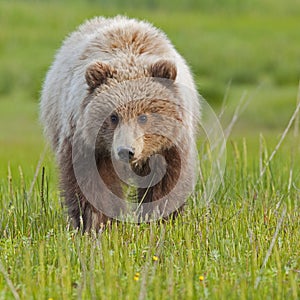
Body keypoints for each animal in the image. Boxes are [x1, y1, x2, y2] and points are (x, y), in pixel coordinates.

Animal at [39, 15, 199, 232]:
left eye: (143, 117)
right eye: (113, 117)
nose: (126, 151)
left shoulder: (171, 142)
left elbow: (166, 181)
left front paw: (159, 219)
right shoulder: (88, 143)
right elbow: (91, 183)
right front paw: (96, 223)